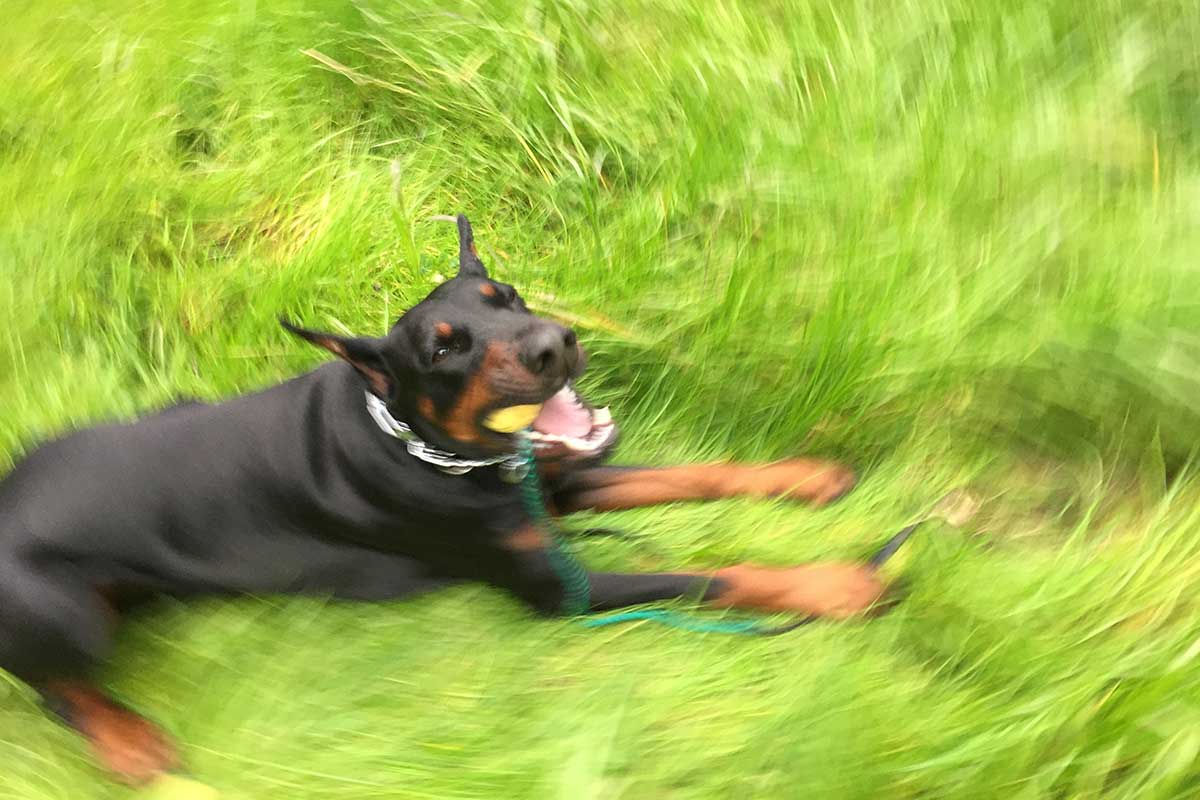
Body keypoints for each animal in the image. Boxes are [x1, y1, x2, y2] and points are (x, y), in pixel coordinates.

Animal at [0, 215, 883, 786]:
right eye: (442, 350)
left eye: (508, 294)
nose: (554, 344)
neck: (430, 450)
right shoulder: (557, 590)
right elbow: (712, 575)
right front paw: (838, 582)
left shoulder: (548, 483)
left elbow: (689, 473)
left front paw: (806, 477)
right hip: (67, 614)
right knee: (50, 688)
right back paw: (130, 744)